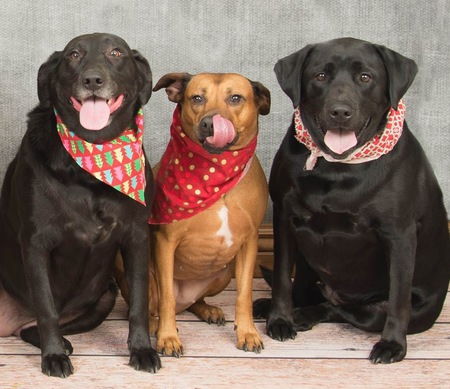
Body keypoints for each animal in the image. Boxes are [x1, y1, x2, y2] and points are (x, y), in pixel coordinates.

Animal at [0, 33, 161, 376]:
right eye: (73, 55)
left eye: (116, 53)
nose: (93, 79)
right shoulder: (35, 243)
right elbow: (46, 308)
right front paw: (53, 356)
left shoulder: (137, 236)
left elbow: (139, 302)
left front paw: (142, 349)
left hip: (106, 293)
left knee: (29, 328)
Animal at [117, 72, 270, 354]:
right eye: (197, 98)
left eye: (236, 98)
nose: (211, 123)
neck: (215, 173)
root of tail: (184, 301)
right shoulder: (166, 242)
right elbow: (166, 297)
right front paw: (167, 337)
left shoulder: (250, 241)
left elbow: (244, 294)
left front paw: (248, 332)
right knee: (150, 305)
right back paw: (153, 323)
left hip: (223, 275)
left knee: (195, 302)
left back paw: (207, 309)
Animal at [253, 38, 450, 362]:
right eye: (320, 76)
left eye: (365, 77)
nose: (340, 112)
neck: (337, 167)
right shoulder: (284, 217)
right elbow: (282, 277)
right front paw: (279, 318)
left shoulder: (400, 234)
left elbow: (398, 299)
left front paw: (392, 344)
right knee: (308, 292)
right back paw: (283, 308)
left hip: (392, 310)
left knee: (342, 310)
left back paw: (305, 315)